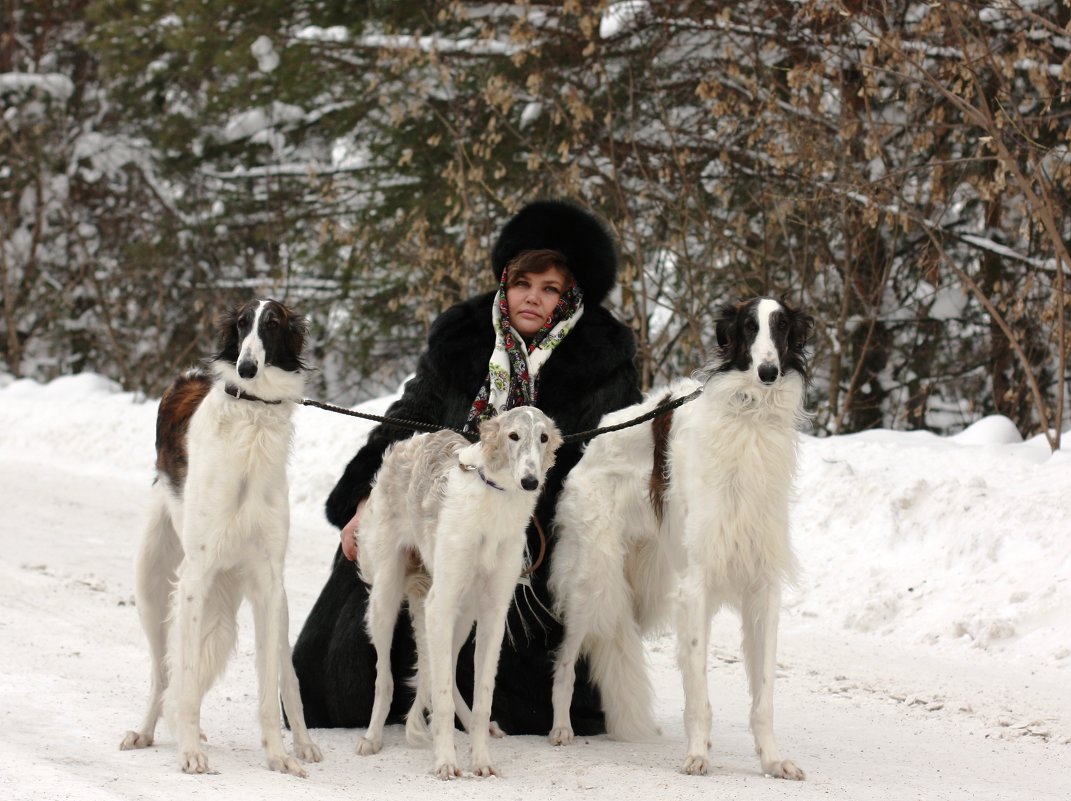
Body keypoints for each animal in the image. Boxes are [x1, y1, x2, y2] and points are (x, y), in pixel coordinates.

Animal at [119, 299, 321, 775]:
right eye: (242, 324)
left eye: (273, 324)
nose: (247, 368)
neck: (252, 420)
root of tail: (185, 378)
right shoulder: (196, 576)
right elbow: (187, 679)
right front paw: (191, 751)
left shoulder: (268, 581)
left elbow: (270, 689)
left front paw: (279, 756)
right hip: (153, 588)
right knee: (163, 673)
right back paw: (146, 731)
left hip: (278, 605)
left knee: (287, 677)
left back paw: (304, 744)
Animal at [357, 402, 565, 779]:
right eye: (513, 435)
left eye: (543, 437)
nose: (530, 482)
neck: (494, 501)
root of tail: (409, 441)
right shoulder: (440, 603)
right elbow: (437, 698)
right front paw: (446, 762)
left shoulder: (493, 613)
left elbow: (481, 697)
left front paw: (481, 761)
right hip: (387, 596)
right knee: (385, 678)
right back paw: (372, 737)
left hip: (462, 615)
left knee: (450, 675)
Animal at [552, 297, 809, 779]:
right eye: (749, 326)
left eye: (783, 326)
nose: (768, 372)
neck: (749, 416)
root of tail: (589, 446)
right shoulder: (696, 582)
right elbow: (698, 689)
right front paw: (697, 754)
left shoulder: (762, 584)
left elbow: (764, 693)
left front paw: (773, 760)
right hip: (593, 578)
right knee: (565, 660)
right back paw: (561, 728)